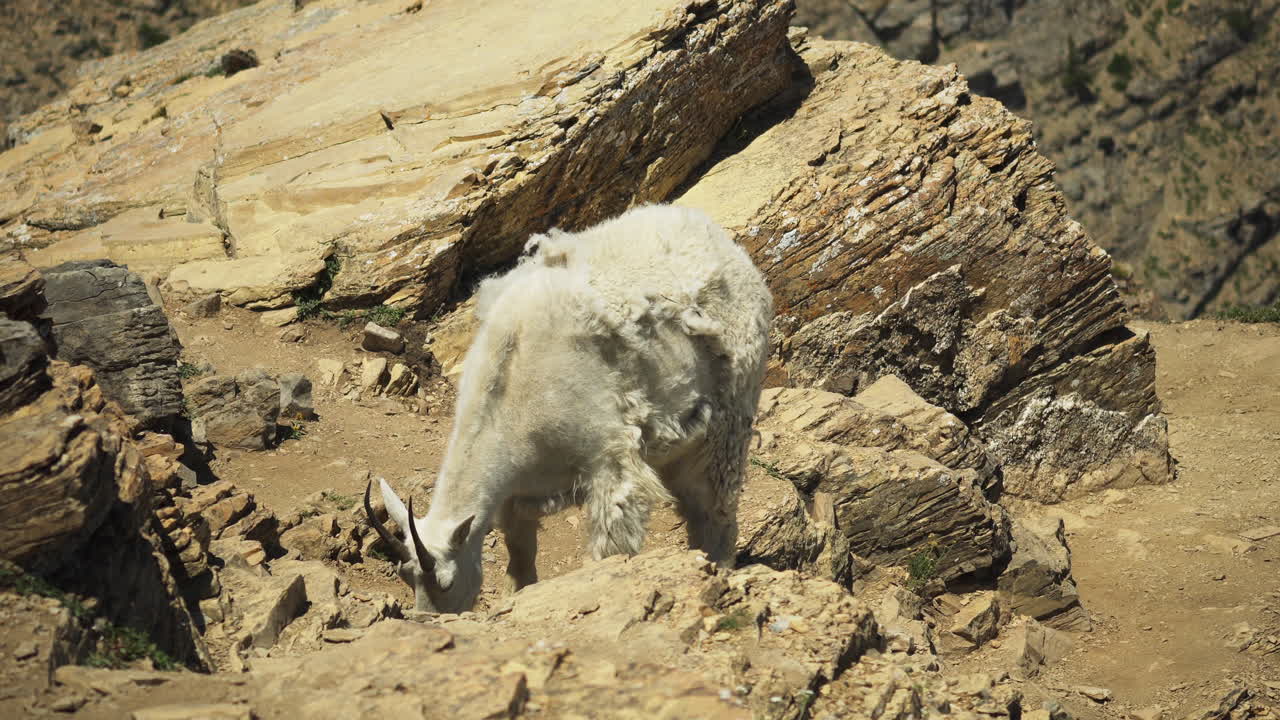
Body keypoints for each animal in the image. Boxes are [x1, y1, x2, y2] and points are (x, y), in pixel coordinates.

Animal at [365, 203, 773, 612]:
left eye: (446, 582)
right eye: (405, 576)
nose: (426, 618)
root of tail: (723, 241)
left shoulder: (609, 461)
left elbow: (611, 547)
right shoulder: (514, 494)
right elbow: (520, 554)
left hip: (731, 413)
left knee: (716, 508)